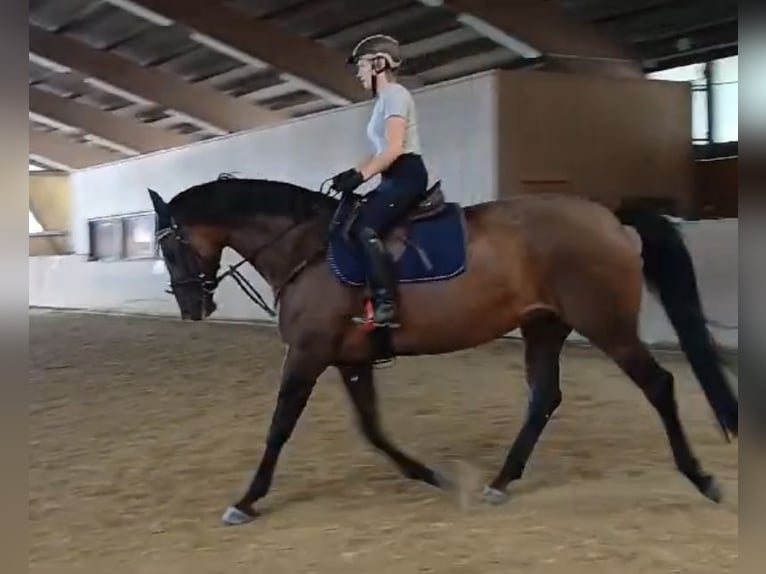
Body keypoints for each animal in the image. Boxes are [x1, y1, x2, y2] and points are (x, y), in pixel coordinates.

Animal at [146, 174, 738, 526]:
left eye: (169, 246)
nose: (191, 307)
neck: (306, 250)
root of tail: (609, 215)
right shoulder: (351, 360)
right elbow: (373, 430)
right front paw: (430, 474)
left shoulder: (308, 355)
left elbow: (279, 428)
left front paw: (246, 501)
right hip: (545, 326)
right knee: (544, 398)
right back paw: (499, 484)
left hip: (606, 323)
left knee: (658, 385)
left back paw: (702, 479)